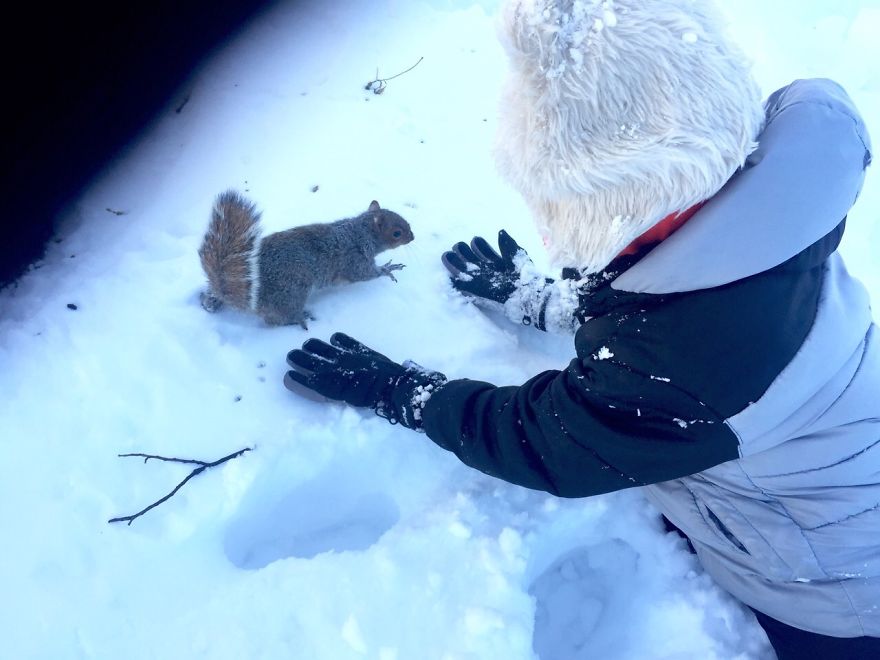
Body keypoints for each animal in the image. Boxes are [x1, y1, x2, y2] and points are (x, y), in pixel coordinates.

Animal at [198, 190, 414, 328]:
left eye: (406, 221)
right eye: (396, 233)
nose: (412, 237)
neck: (360, 232)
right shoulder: (355, 259)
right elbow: (366, 274)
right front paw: (388, 269)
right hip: (291, 294)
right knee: (276, 319)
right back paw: (299, 318)